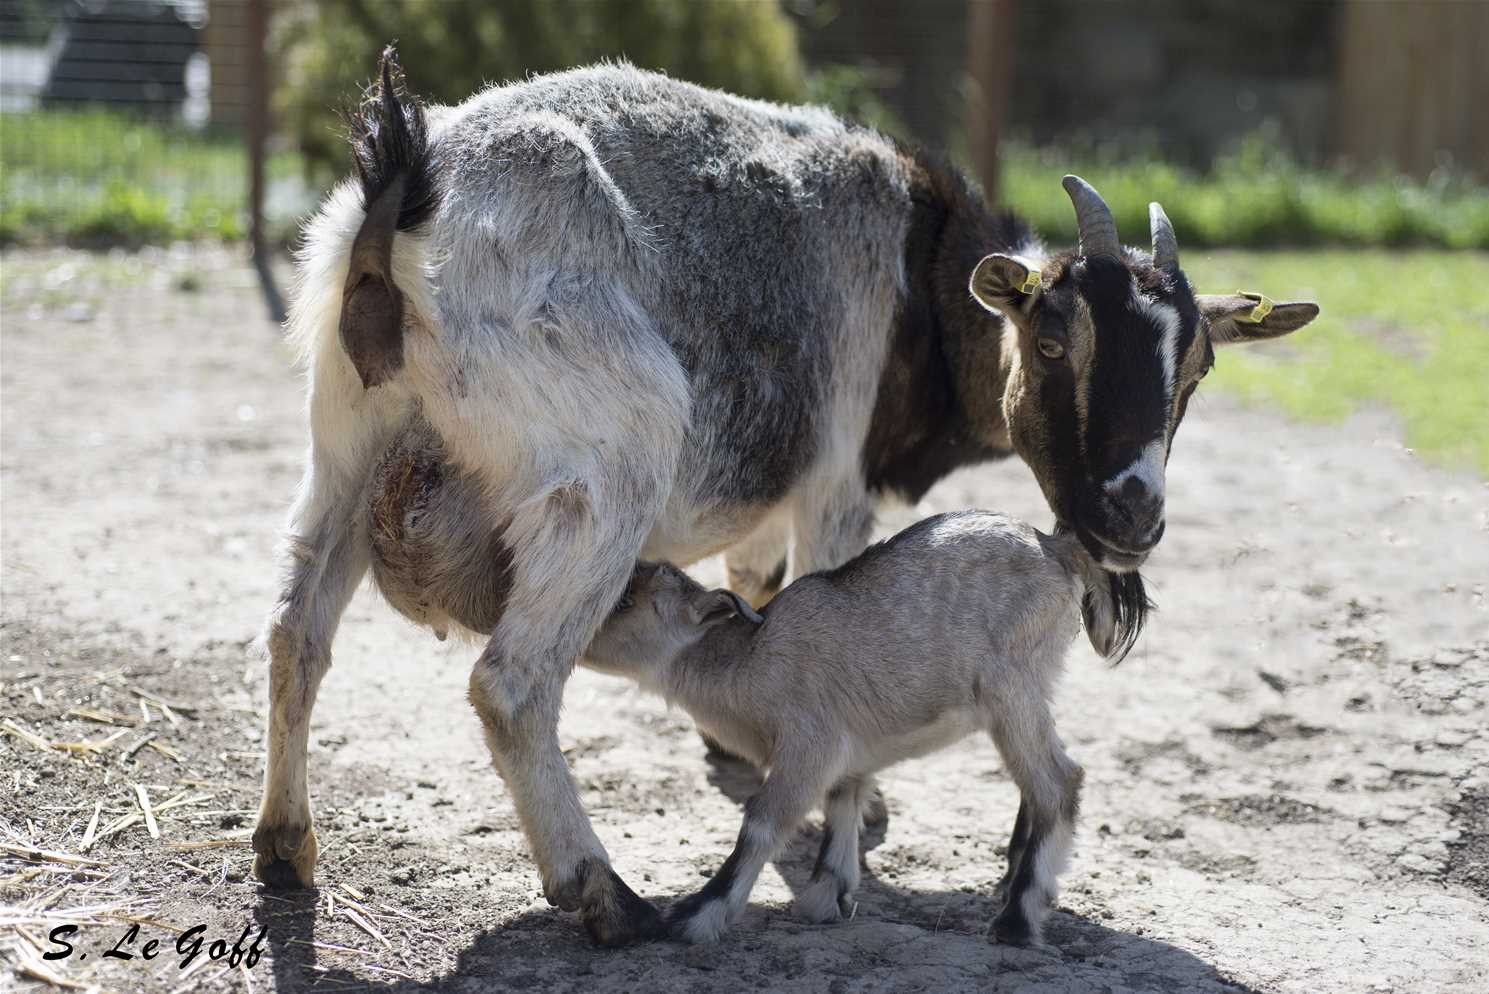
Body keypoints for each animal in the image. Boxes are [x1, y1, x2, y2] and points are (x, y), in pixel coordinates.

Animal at [583, 511, 1149, 946]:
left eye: (627, 600)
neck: (749, 658)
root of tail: (1058, 549)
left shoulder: (807, 744)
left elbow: (761, 823)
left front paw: (697, 916)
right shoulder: (847, 751)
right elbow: (843, 804)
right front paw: (827, 897)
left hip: (1011, 690)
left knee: (1058, 782)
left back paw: (1017, 920)